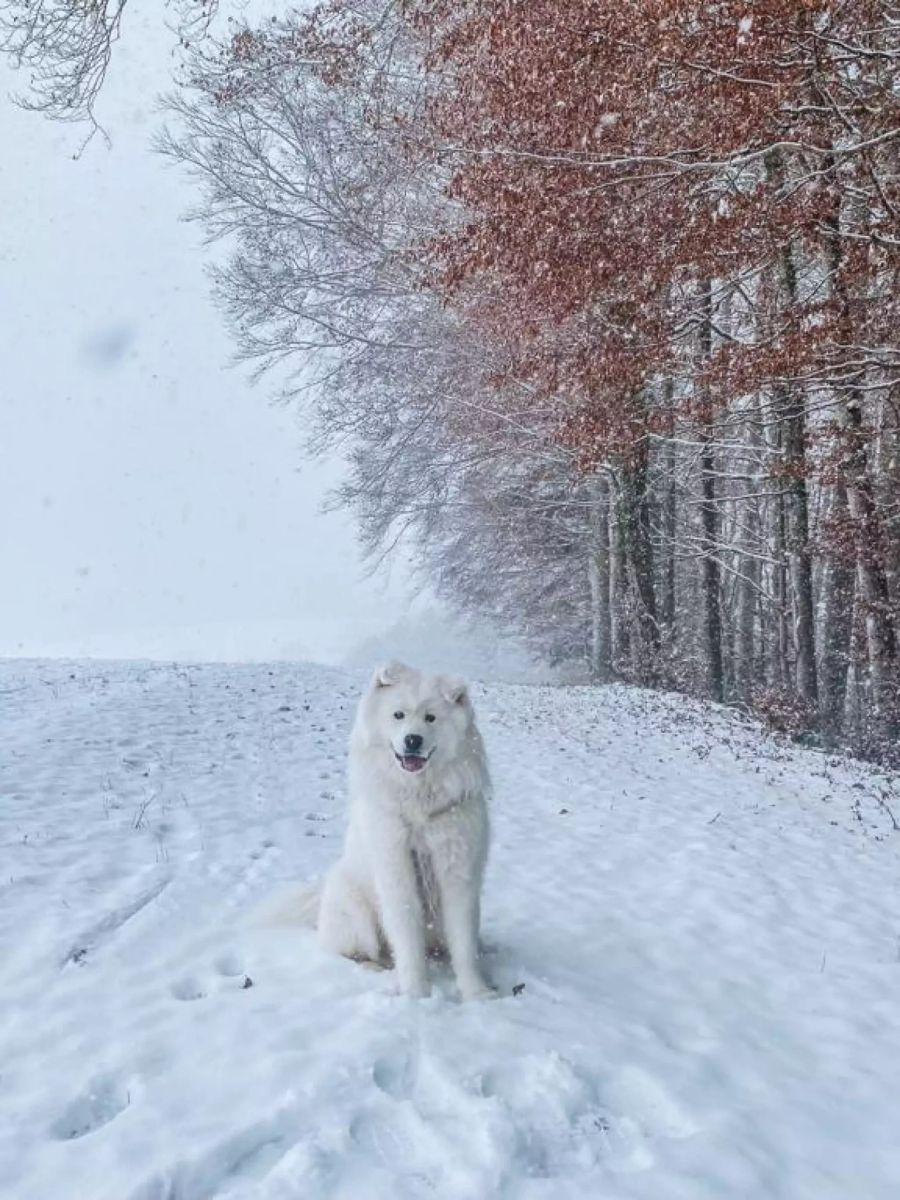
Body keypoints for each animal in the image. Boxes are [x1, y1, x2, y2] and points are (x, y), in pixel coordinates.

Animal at [319, 662, 494, 998]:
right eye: (398, 715)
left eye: (431, 718)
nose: (413, 740)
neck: (419, 806)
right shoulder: (396, 871)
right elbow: (407, 937)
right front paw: (416, 994)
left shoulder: (457, 875)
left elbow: (463, 942)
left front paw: (476, 993)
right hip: (357, 915)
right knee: (359, 952)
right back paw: (380, 968)